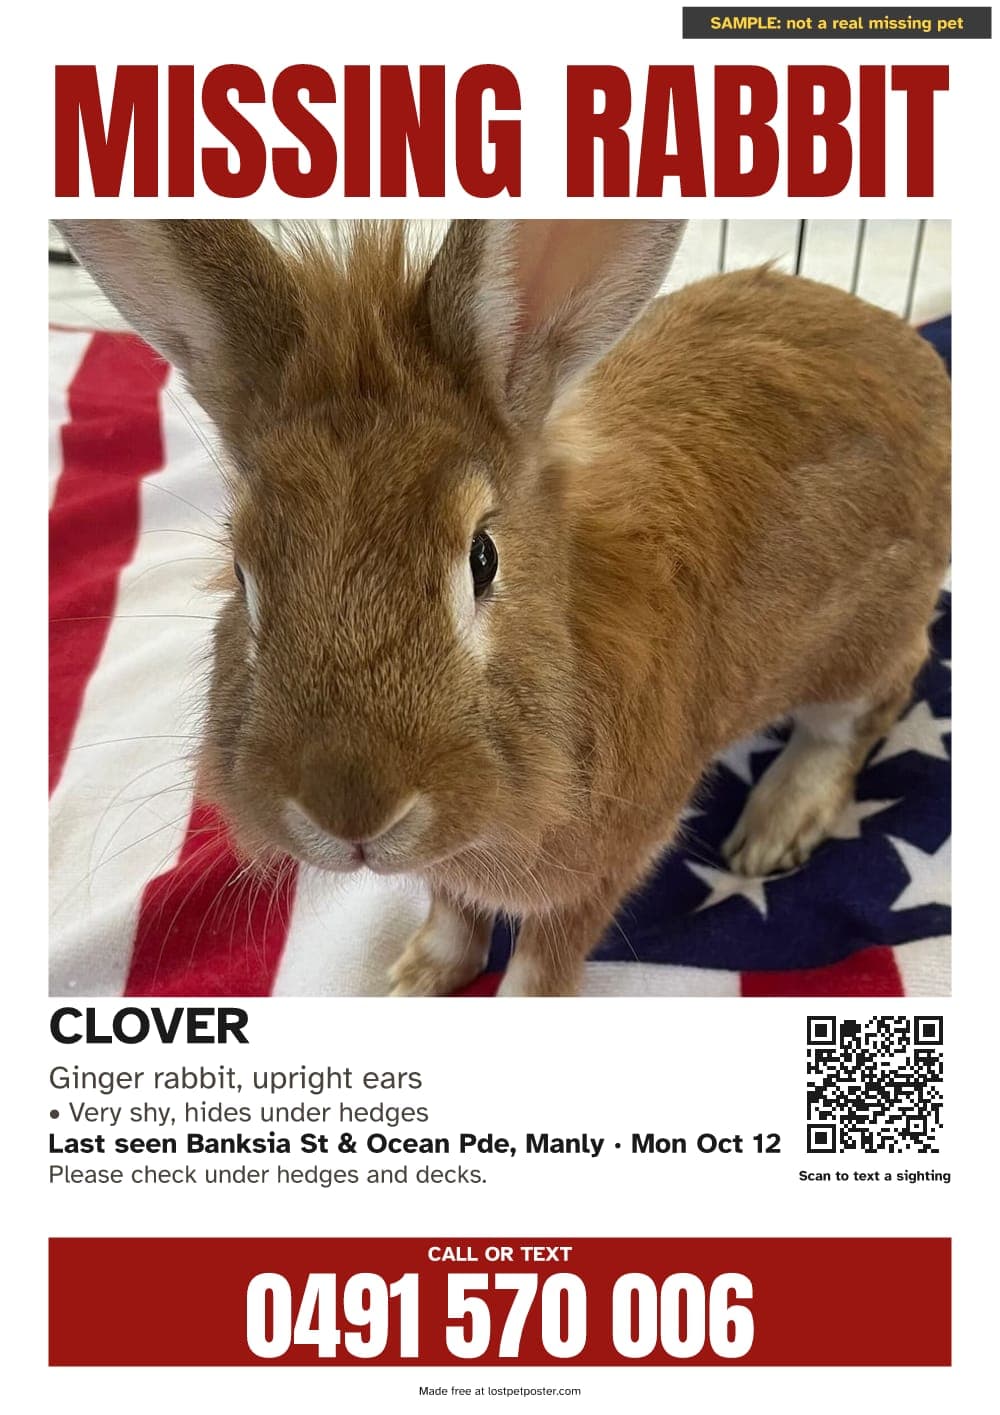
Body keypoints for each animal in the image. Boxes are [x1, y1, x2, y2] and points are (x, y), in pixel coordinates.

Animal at [56, 219, 950, 997]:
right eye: (242, 570)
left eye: (482, 558)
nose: (352, 812)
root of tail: (913, 356)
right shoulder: (449, 867)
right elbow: (454, 913)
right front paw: (414, 979)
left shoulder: (602, 861)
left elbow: (545, 957)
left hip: (865, 640)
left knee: (866, 708)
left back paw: (774, 828)